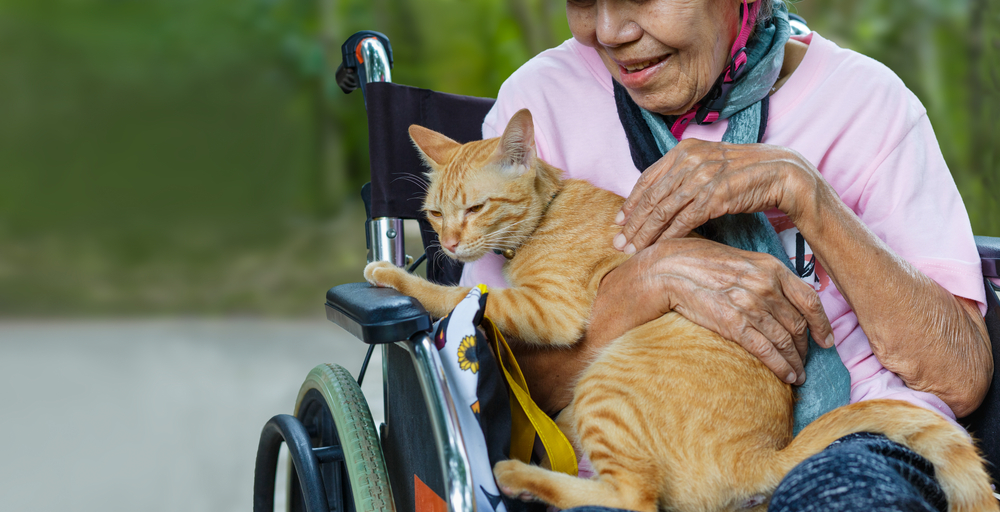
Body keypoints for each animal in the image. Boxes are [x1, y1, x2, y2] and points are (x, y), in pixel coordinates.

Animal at [366, 109, 1000, 512]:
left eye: (475, 208)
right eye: (435, 214)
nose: (449, 245)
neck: (548, 213)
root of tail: (762, 457)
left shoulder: (551, 307)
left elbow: (461, 297)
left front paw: (391, 276)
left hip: (605, 389)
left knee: (634, 498)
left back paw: (518, 474)